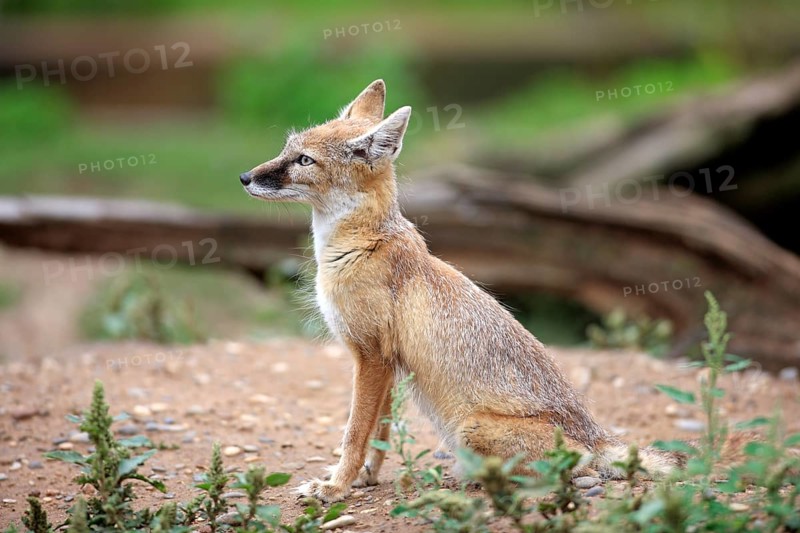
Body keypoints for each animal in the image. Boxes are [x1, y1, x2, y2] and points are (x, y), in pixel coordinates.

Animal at [239, 79, 681, 502]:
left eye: (304, 160)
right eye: (287, 149)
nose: (244, 177)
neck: (362, 245)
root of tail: (595, 435)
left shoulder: (371, 358)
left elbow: (355, 434)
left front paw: (335, 487)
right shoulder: (386, 363)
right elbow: (379, 435)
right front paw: (365, 479)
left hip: (469, 427)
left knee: (572, 472)